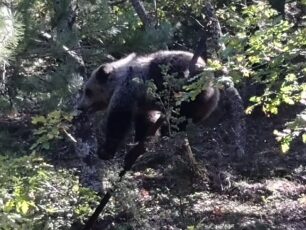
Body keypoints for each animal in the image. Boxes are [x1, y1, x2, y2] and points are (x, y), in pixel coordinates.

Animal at [76, 50, 220, 160]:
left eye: (87, 91)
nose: (80, 106)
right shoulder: (142, 103)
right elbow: (145, 120)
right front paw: (140, 141)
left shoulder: (129, 89)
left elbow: (118, 119)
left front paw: (105, 151)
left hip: (188, 89)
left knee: (180, 113)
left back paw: (168, 131)